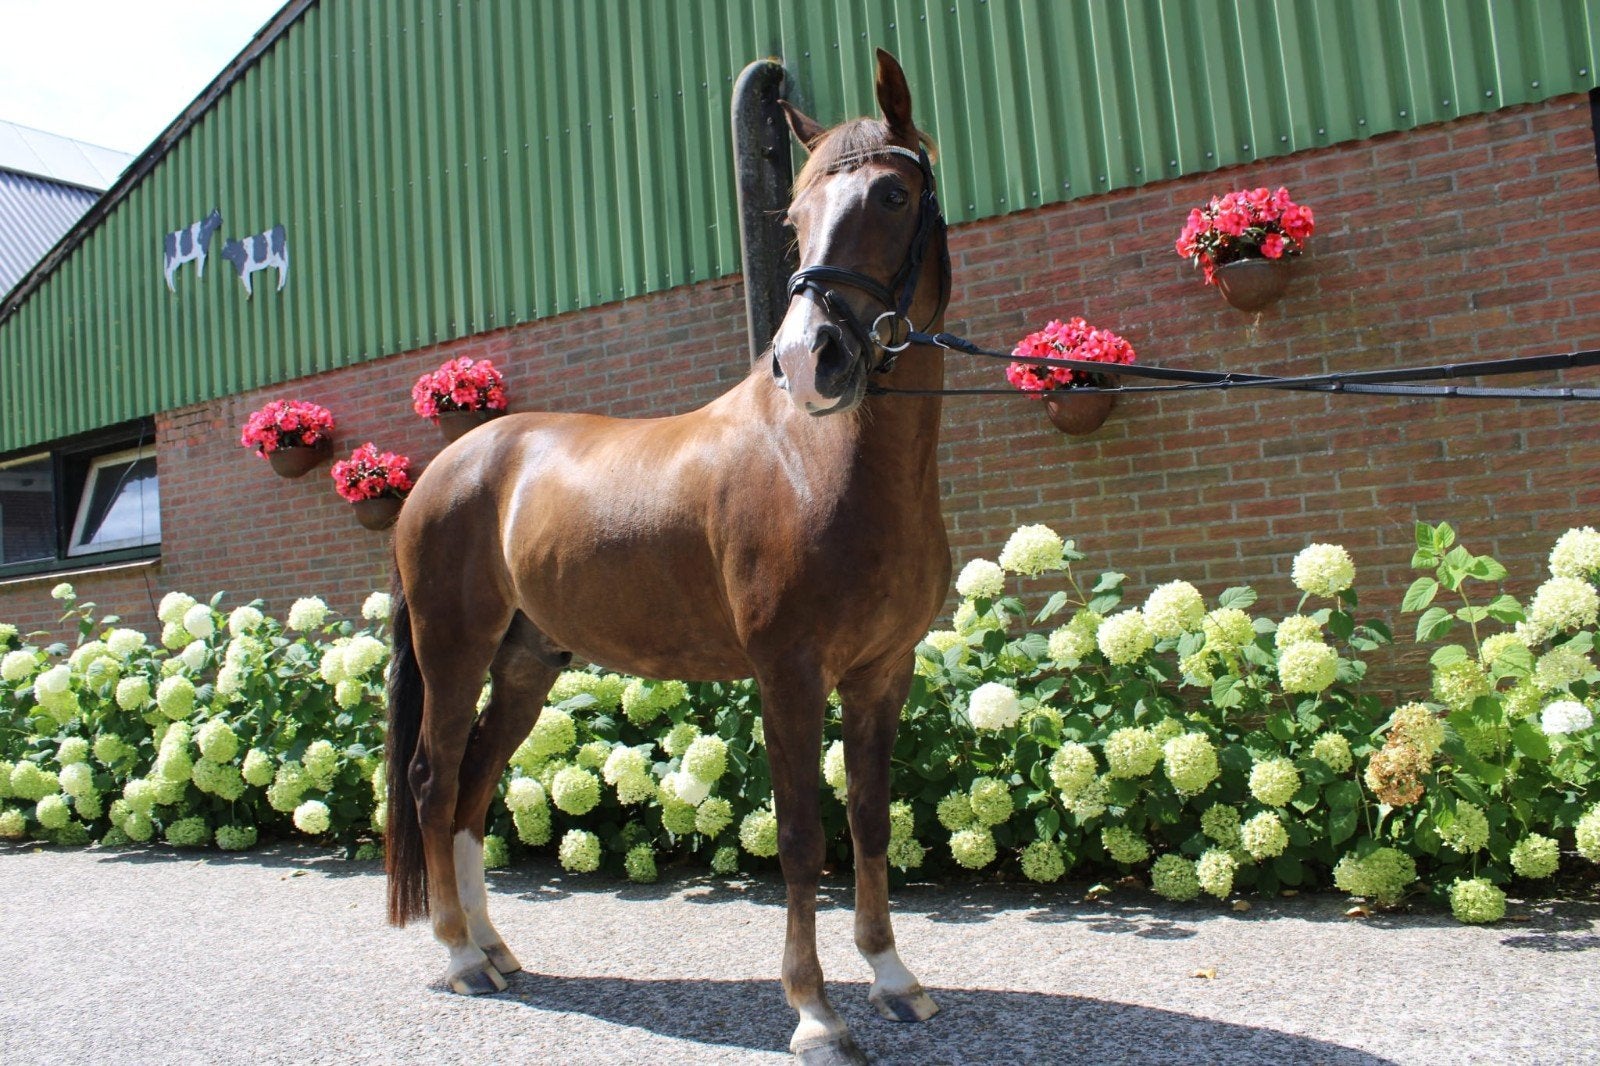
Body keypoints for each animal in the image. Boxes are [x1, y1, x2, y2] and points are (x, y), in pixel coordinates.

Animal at [385, 48, 951, 1064]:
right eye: (795, 218)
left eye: (893, 194)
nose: (810, 361)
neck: (824, 463)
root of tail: (446, 467)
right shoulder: (789, 674)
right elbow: (802, 836)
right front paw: (814, 1012)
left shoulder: (884, 673)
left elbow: (870, 822)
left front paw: (894, 978)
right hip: (453, 652)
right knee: (433, 780)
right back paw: (457, 957)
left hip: (526, 664)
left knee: (474, 790)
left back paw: (494, 949)